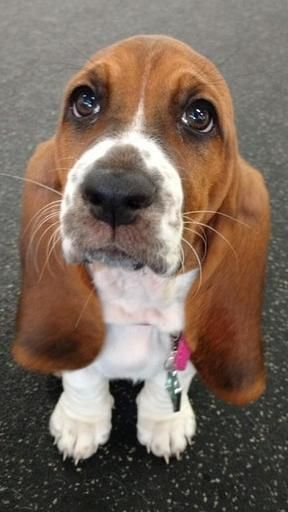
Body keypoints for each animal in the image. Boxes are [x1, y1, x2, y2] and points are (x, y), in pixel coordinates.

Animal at [12, 34, 270, 462]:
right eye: (85, 101)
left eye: (199, 115)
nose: (114, 193)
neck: (135, 298)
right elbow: (83, 375)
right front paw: (81, 422)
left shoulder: (184, 337)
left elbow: (174, 378)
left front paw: (165, 422)